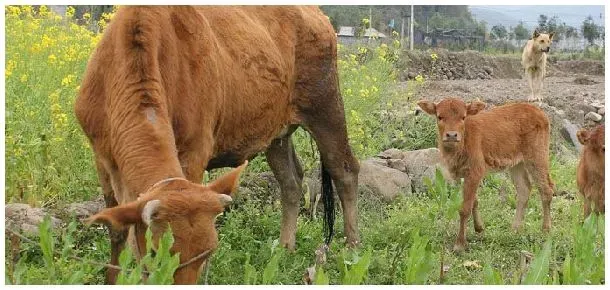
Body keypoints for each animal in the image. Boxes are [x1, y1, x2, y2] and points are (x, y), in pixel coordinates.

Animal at [73, 5, 358, 284]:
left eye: (208, 251)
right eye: (155, 252)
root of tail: (316, 13)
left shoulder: (194, 151)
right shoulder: (102, 158)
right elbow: (117, 230)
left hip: (325, 106)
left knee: (345, 170)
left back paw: (351, 250)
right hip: (277, 132)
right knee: (291, 181)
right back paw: (286, 247)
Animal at [418, 97, 552, 251]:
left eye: (463, 117)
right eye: (439, 116)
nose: (451, 135)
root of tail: (539, 112)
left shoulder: (475, 171)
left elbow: (465, 208)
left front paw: (459, 245)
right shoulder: (462, 175)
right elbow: (473, 201)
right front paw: (479, 228)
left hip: (537, 156)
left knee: (546, 189)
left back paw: (545, 230)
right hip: (517, 164)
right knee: (524, 189)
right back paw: (515, 229)